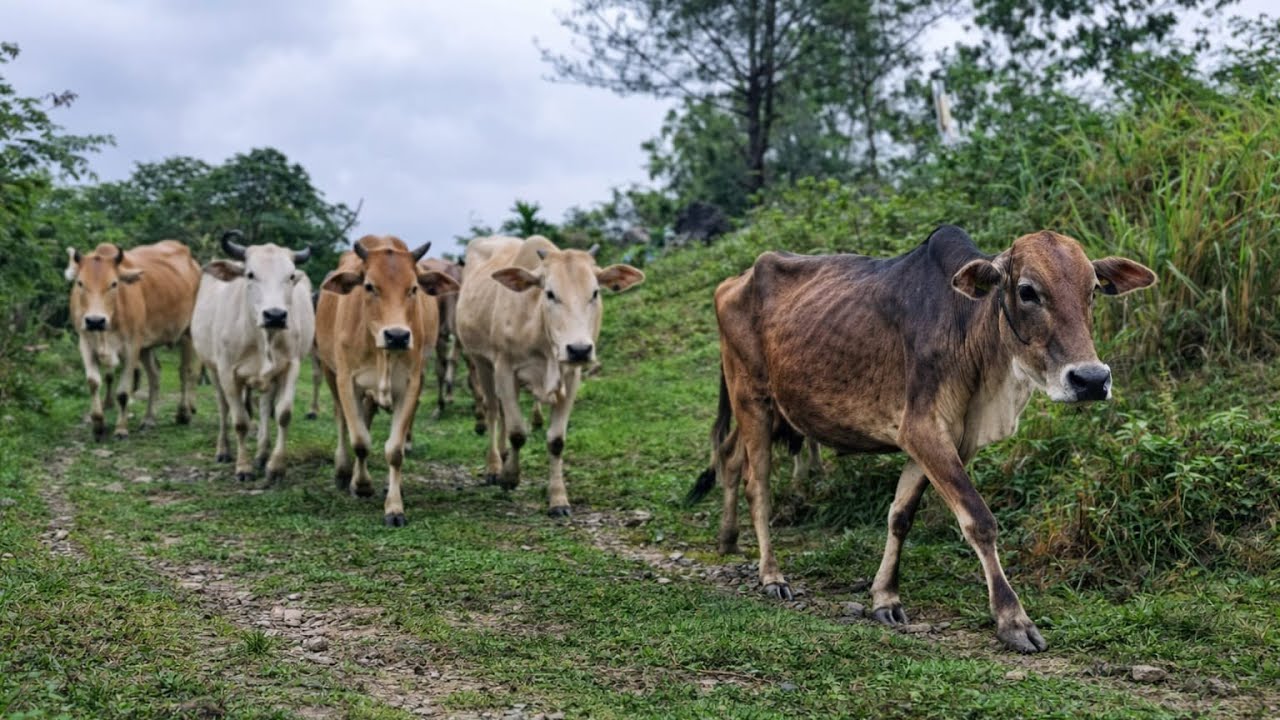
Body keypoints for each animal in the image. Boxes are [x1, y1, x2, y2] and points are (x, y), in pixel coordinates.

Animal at [66, 240, 200, 441]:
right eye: (80, 283)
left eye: (114, 283)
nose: (95, 321)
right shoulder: (85, 343)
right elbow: (93, 382)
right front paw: (98, 424)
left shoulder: (131, 347)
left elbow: (123, 393)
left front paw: (121, 429)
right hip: (146, 346)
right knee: (155, 374)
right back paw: (149, 418)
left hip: (188, 332)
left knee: (186, 372)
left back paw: (184, 413)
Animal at [191, 231, 315, 482]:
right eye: (250, 274)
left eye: (290, 276)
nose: (275, 315)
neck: (262, 337)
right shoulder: (227, 372)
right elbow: (240, 421)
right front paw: (243, 467)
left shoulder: (291, 367)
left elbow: (283, 414)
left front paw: (275, 467)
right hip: (213, 370)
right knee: (223, 408)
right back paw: (223, 450)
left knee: (266, 408)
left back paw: (262, 453)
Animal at [455, 235, 644, 516]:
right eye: (550, 293)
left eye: (595, 292)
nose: (579, 349)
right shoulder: (504, 369)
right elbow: (517, 432)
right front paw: (509, 477)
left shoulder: (571, 377)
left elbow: (556, 441)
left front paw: (558, 499)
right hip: (481, 361)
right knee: (493, 411)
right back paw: (494, 466)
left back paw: (503, 456)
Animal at [687, 225, 1155, 653]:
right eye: (1027, 291)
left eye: (1093, 291)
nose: (1091, 380)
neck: (967, 327)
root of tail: (734, 280)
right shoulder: (923, 430)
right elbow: (979, 521)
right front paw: (1013, 621)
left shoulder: (942, 441)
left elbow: (900, 516)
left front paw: (885, 598)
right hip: (753, 399)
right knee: (758, 485)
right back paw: (771, 574)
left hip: (767, 409)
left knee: (730, 458)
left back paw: (728, 538)